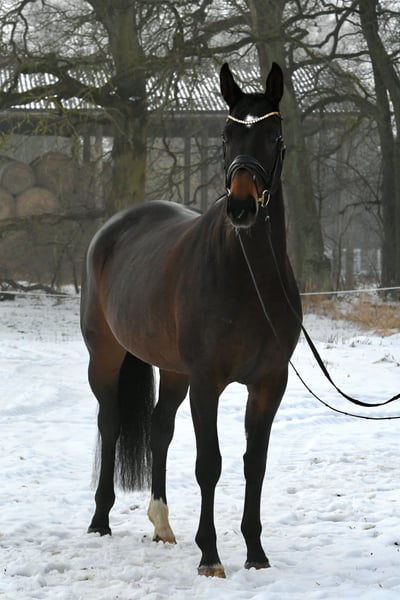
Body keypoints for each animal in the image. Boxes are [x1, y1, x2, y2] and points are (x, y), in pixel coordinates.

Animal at [80, 61, 302, 578]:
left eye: (273, 133)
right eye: (226, 134)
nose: (241, 207)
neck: (250, 277)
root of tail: (112, 228)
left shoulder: (269, 383)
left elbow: (254, 464)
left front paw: (256, 553)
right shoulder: (207, 382)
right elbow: (210, 464)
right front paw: (210, 556)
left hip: (171, 368)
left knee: (160, 428)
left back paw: (162, 525)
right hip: (106, 357)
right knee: (110, 423)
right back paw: (100, 520)